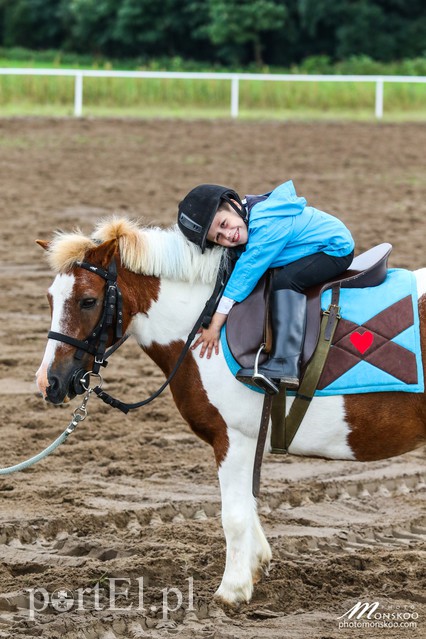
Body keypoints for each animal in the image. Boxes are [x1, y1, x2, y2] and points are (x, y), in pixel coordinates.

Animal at [35, 218, 426, 608]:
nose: (48, 382)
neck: (205, 323)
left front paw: (232, 590)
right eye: (51, 298)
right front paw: (254, 565)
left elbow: (234, 516)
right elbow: (249, 507)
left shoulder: (233, 439)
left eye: (88, 301)